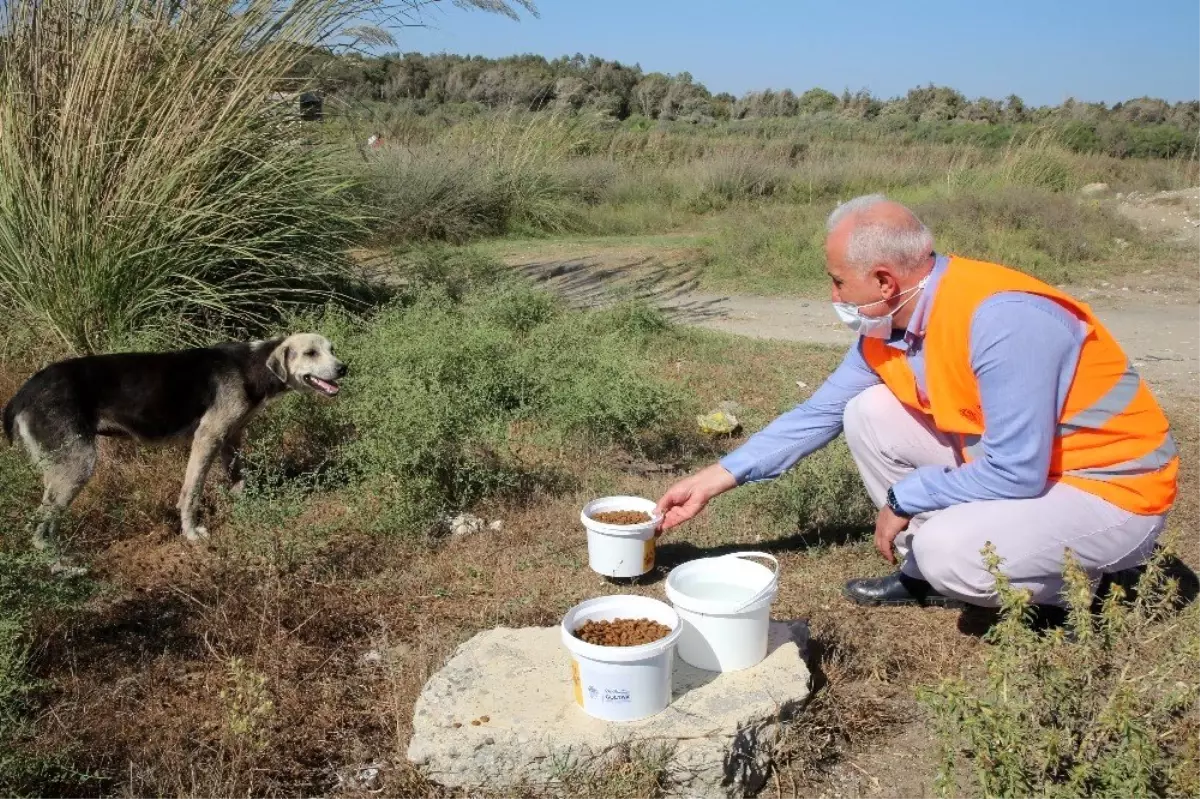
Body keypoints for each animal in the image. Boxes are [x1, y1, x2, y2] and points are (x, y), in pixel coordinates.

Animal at [1, 331, 348, 547]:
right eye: (310, 353)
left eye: (332, 349)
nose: (344, 368)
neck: (249, 366)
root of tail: (23, 393)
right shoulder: (207, 438)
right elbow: (191, 493)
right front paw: (191, 533)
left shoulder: (231, 438)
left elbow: (238, 480)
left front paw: (245, 506)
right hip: (77, 464)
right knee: (40, 529)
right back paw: (62, 568)